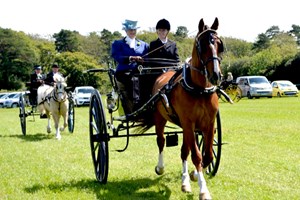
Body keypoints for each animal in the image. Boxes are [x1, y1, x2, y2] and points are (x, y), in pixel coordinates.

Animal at [138, 17, 223, 200]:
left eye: (219, 45)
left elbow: (207, 155)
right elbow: (197, 156)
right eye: (202, 45)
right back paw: (160, 167)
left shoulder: (208, 123)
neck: (200, 89)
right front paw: (203, 190)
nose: (216, 76)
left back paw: (185, 181)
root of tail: (163, 72)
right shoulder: (189, 123)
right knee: (161, 141)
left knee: (184, 150)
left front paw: (193, 175)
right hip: (161, 119)